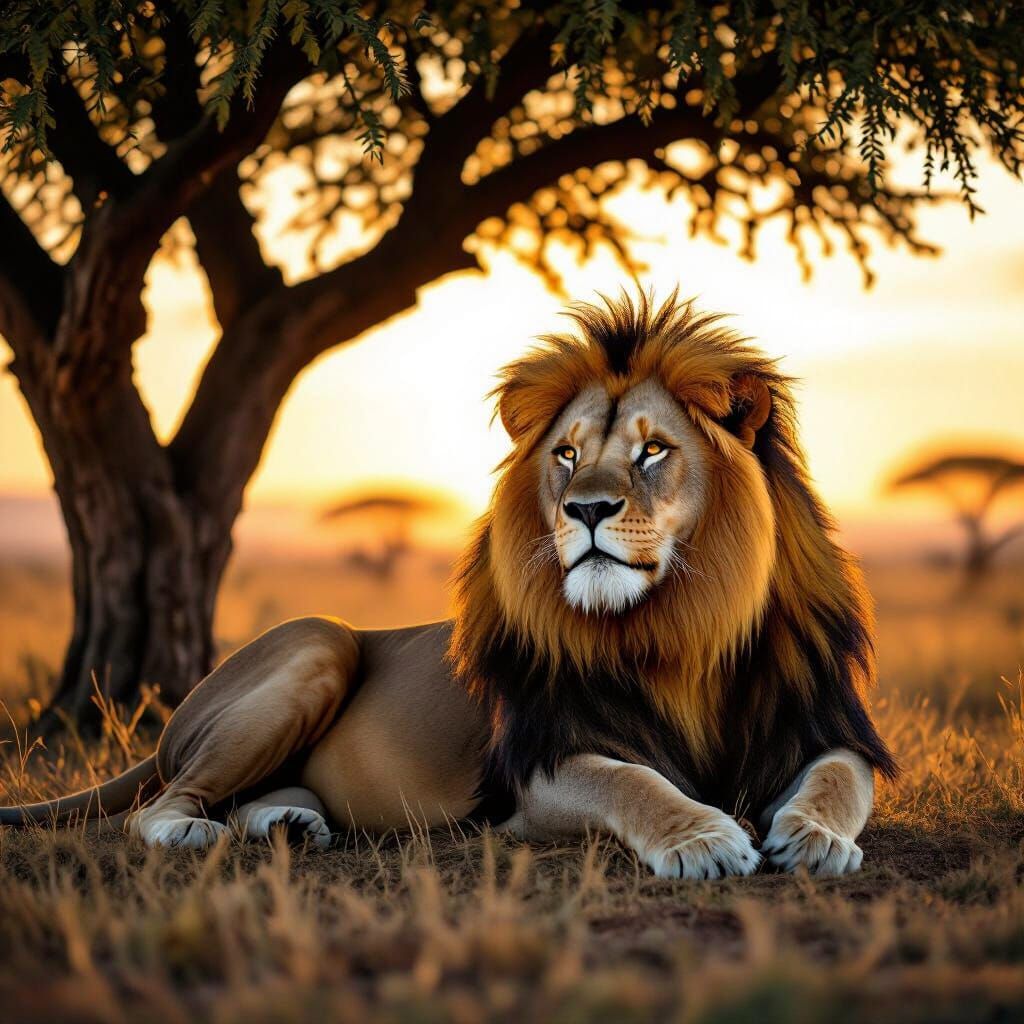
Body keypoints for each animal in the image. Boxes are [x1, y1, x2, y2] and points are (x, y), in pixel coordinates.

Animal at [0, 292, 896, 878]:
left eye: (652, 451)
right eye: (567, 454)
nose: (587, 509)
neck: (683, 626)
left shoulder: (820, 724)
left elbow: (838, 779)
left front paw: (814, 838)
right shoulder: (537, 768)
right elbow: (632, 780)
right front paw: (701, 838)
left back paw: (289, 821)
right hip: (319, 642)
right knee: (158, 808)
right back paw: (198, 834)